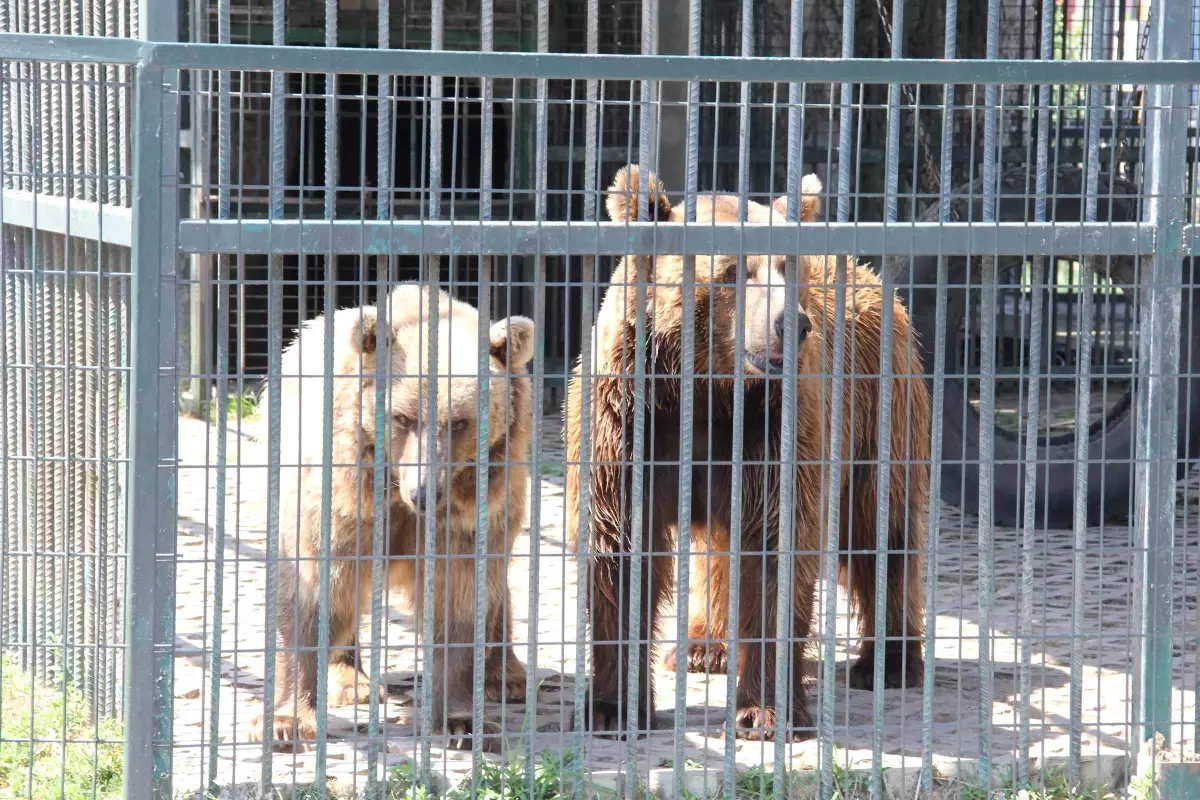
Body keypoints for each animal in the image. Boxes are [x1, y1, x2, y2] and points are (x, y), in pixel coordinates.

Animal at [248, 283, 535, 753]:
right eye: (402, 417)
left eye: (459, 423)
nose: (424, 492)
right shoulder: (340, 501)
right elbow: (313, 592)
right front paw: (286, 721)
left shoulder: (465, 522)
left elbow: (457, 601)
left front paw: (460, 719)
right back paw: (352, 679)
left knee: (496, 586)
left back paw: (505, 673)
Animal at [566, 164, 931, 743]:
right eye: (732, 271)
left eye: (786, 266)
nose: (793, 323)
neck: (705, 389)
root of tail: (868, 274)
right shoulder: (627, 424)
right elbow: (619, 549)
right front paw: (611, 707)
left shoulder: (776, 428)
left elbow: (774, 550)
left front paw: (766, 711)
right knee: (720, 548)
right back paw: (704, 646)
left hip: (880, 407)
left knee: (881, 529)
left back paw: (891, 661)